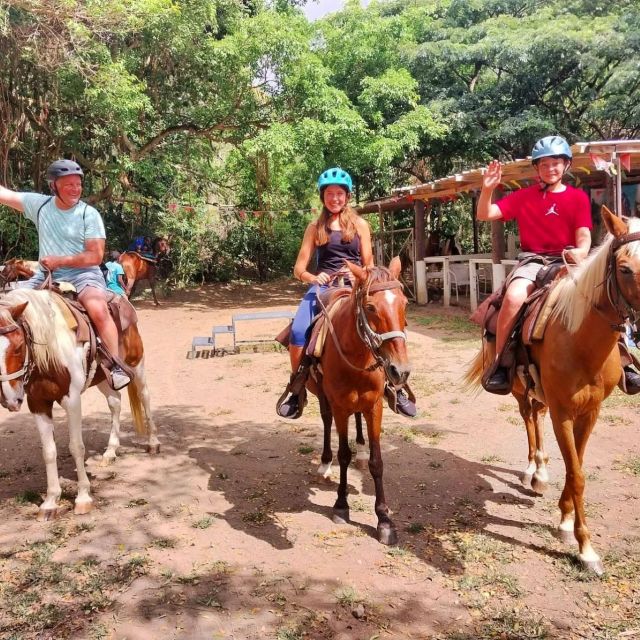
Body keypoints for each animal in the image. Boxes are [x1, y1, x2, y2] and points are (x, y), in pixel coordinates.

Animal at [0, 290, 159, 520]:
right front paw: (50, 502)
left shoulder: (72, 400)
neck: (52, 349)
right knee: (115, 403)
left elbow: (76, 446)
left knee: (145, 396)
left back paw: (153, 442)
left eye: (19, 346)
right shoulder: (38, 403)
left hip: (137, 365)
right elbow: (49, 451)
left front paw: (83, 497)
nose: (10, 399)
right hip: (103, 378)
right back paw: (110, 452)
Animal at [308, 256, 410, 544]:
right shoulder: (339, 405)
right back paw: (324, 464)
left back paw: (361, 451)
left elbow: (378, 462)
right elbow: (343, 454)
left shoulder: (374, 406)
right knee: (326, 421)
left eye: (404, 303)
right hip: (323, 396)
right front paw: (341, 506)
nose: (400, 371)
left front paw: (384, 520)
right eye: (371, 307)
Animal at [464, 209, 640, 576]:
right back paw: (535, 471)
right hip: (519, 388)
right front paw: (585, 548)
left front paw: (565, 520)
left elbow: (577, 467)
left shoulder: (591, 411)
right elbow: (577, 474)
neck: (580, 338)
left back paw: (540, 472)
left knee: (536, 417)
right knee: (528, 419)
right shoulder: (563, 413)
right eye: (625, 268)